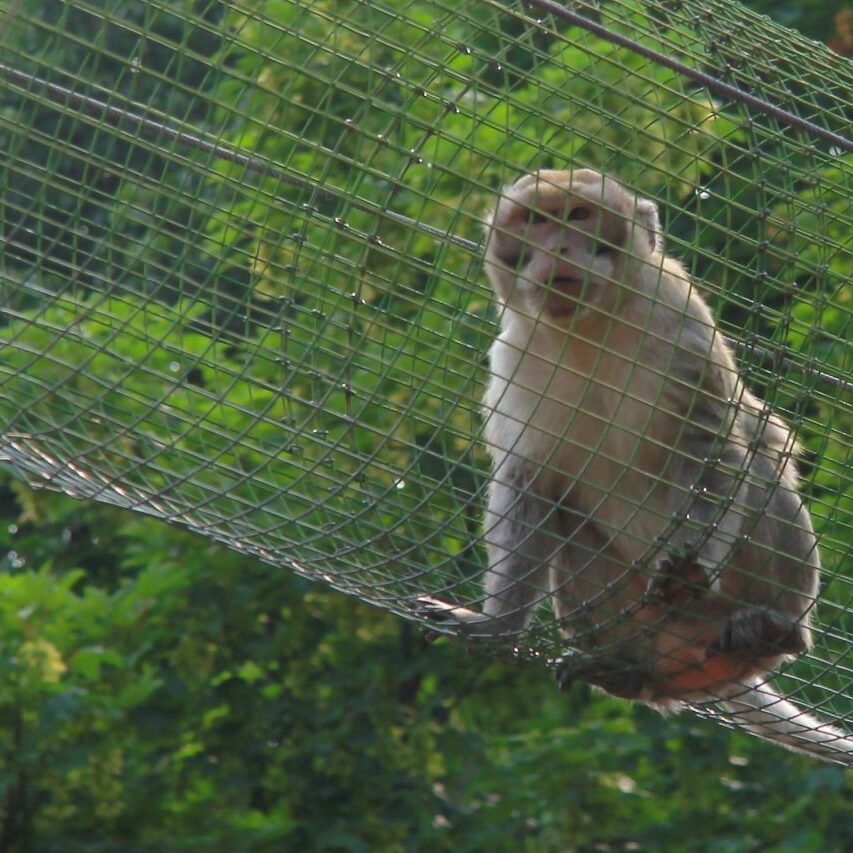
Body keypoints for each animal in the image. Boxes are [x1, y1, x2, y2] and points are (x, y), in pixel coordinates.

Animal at [419, 169, 853, 765]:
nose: (556, 248)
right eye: (534, 221)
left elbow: (710, 443)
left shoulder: (683, 327)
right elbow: (529, 483)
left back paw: (769, 627)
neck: (590, 329)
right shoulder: (512, 361)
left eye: (578, 216)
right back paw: (629, 671)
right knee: (573, 527)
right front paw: (495, 623)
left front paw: (687, 564)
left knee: (759, 463)